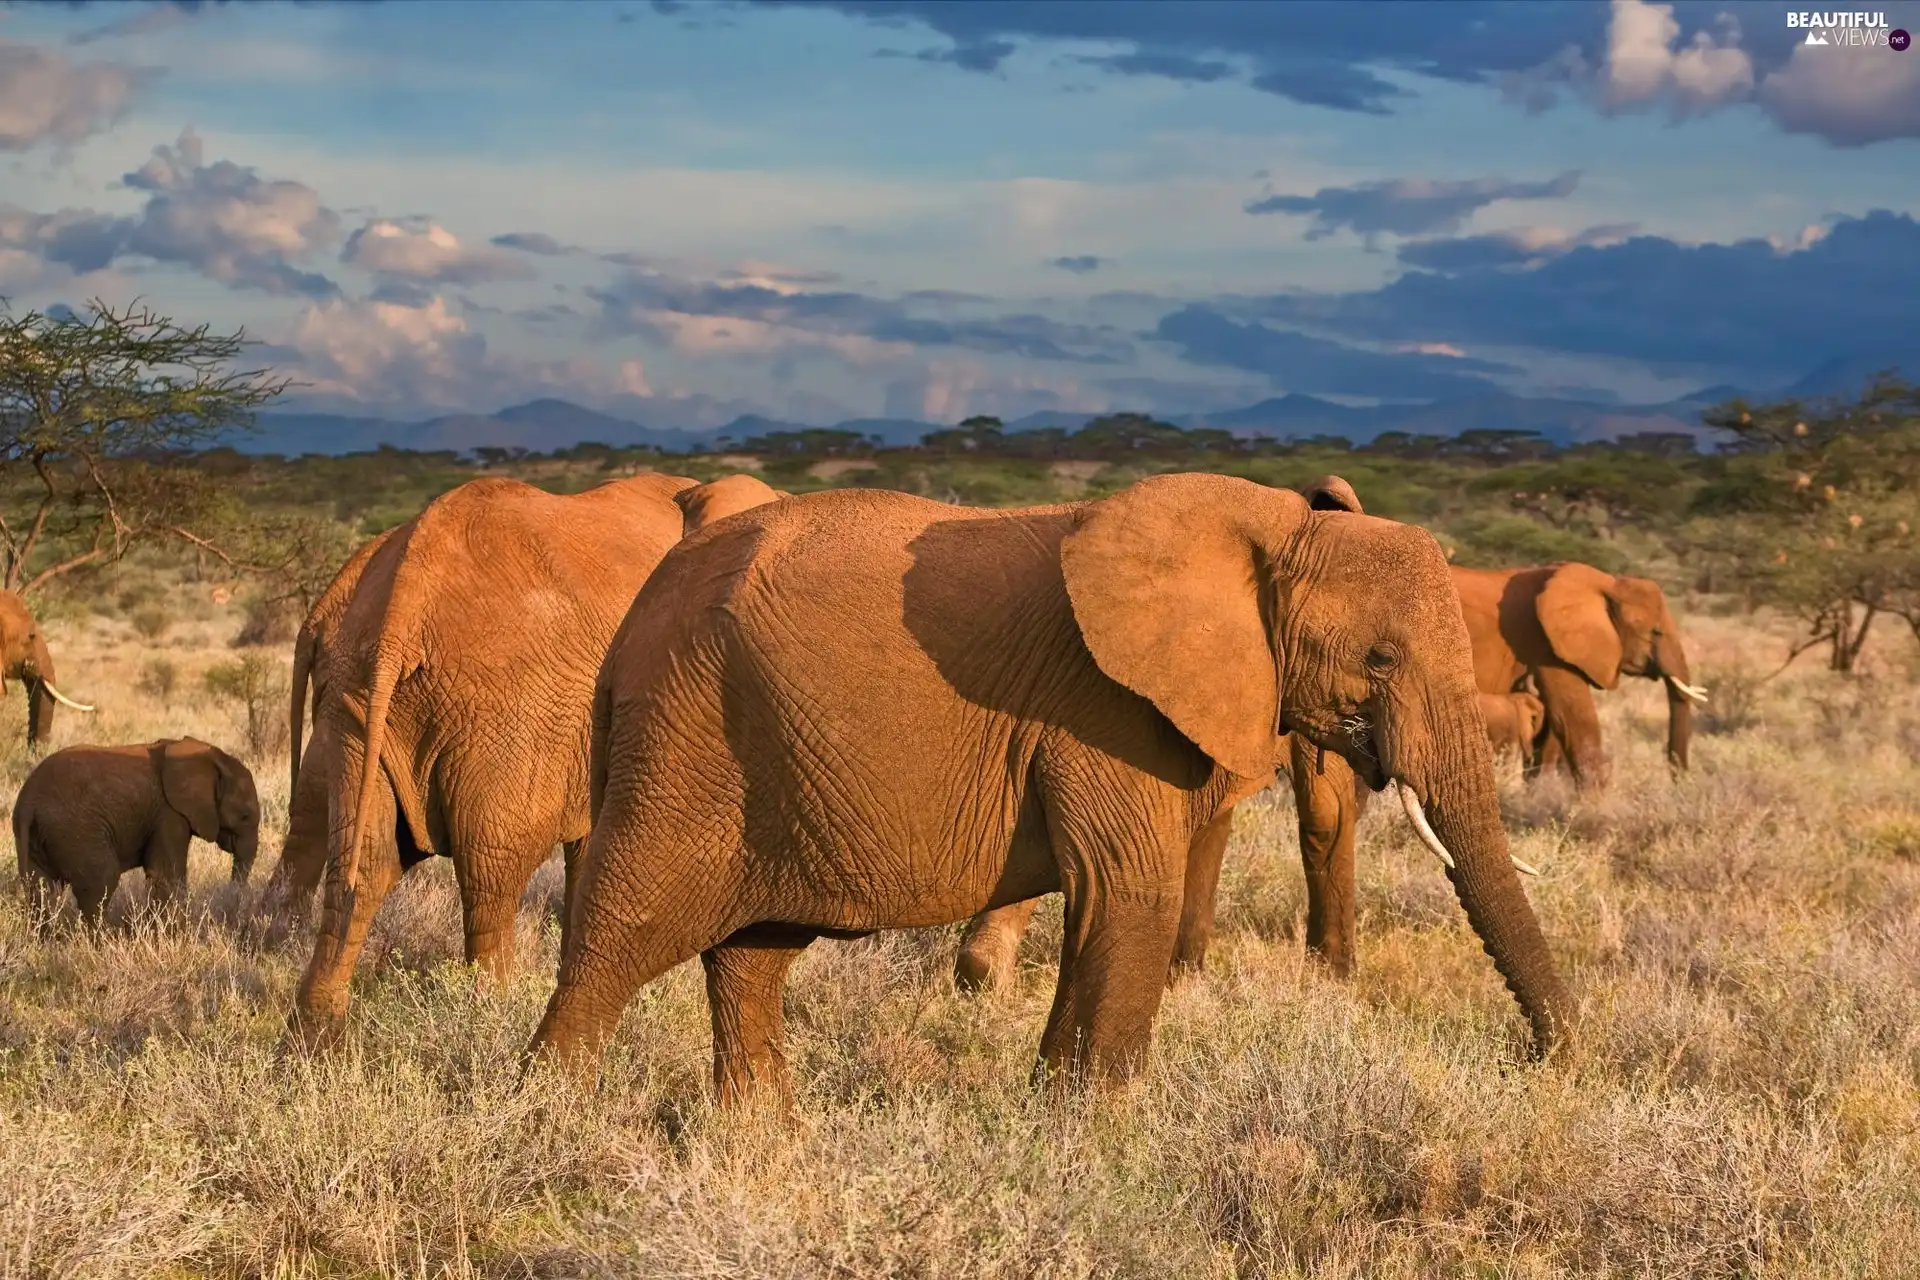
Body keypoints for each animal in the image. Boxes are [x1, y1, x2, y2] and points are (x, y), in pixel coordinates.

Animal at [13, 740, 263, 932]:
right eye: (244, 816)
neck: (212, 756)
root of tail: (28, 800)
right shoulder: (168, 814)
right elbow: (166, 874)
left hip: (38, 835)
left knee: (41, 889)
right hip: (76, 830)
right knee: (101, 881)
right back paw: (104, 940)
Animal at [280, 474, 702, 1051]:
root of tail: (404, 608)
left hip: (356, 700)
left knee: (362, 858)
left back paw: (313, 1031)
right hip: (507, 711)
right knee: (492, 866)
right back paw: (491, 1012)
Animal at [529, 470, 1574, 1105]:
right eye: (1381, 659)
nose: (1543, 1059)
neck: (1268, 530)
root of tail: (632, 625)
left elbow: (1106, 905)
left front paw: (1051, 1115)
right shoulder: (1102, 708)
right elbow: (1129, 892)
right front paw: (1094, 1138)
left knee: (750, 961)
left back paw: (759, 1145)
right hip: (686, 737)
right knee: (620, 940)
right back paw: (555, 1129)